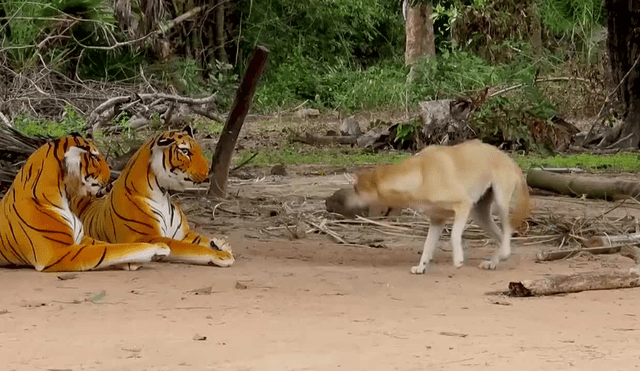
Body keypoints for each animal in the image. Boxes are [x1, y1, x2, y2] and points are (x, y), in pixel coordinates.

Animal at [0, 134, 170, 274]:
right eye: (94, 157)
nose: (111, 174)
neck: (65, 197)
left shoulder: (83, 239)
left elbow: (114, 247)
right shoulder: (60, 253)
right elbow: (110, 250)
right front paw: (155, 248)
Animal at [70, 127, 235, 268]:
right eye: (185, 151)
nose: (208, 172)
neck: (162, 194)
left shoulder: (183, 234)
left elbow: (202, 240)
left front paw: (221, 244)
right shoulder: (150, 238)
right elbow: (193, 249)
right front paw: (221, 255)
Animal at [352, 140, 528, 274]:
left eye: (356, 189)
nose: (349, 199)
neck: (420, 175)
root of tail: (510, 160)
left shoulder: (463, 204)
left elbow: (454, 235)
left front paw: (458, 259)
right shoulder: (437, 219)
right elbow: (427, 246)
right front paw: (421, 267)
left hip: (499, 204)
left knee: (507, 231)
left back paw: (503, 254)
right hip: (479, 215)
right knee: (501, 236)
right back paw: (494, 261)